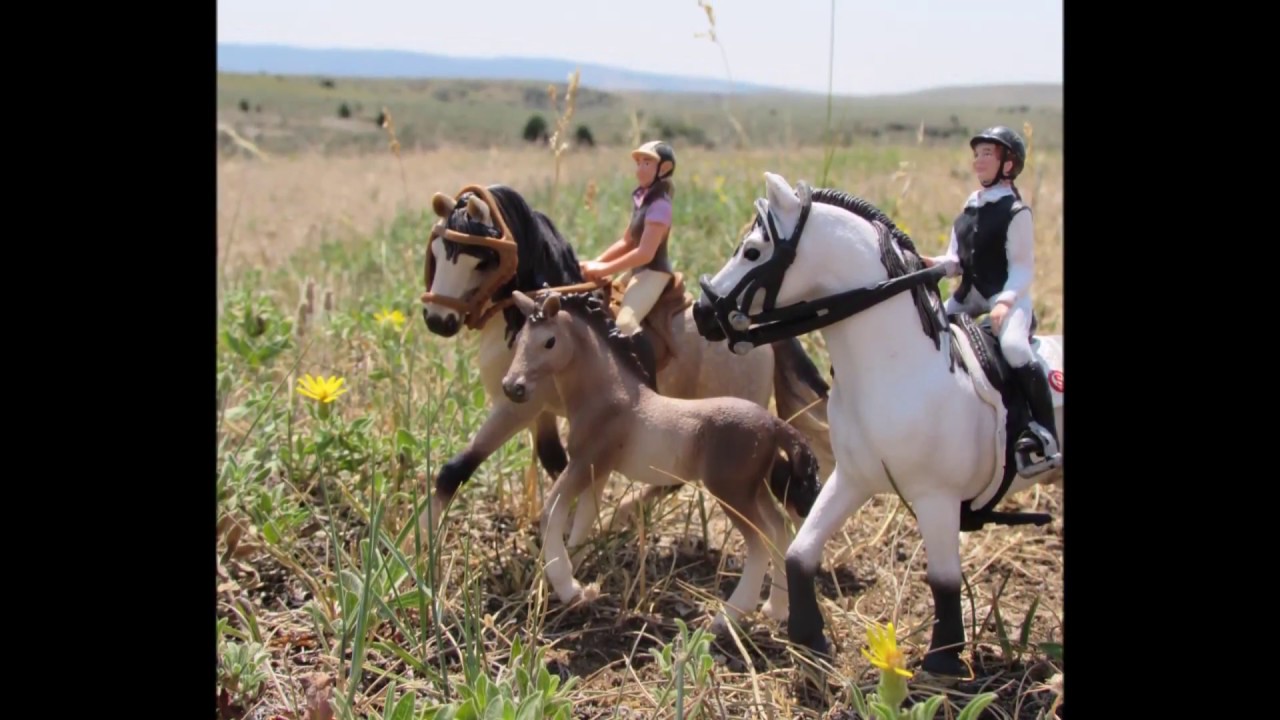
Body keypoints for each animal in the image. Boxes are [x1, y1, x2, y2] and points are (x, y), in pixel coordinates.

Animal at [416, 183, 835, 542]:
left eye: (481, 260)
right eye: (437, 251)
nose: (438, 320)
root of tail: (753, 336)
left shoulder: (517, 407)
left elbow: (455, 470)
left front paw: (419, 550)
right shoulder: (542, 412)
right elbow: (557, 461)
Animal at [500, 288, 823, 632]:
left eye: (549, 341)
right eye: (519, 338)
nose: (512, 387)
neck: (610, 398)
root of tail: (772, 424)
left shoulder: (586, 461)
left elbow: (552, 512)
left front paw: (568, 588)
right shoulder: (597, 470)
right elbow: (584, 518)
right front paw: (578, 574)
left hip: (731, 492)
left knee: (760, 541)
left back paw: (725, 619)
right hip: (754, 488)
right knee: (779, 529)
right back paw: (775, 609)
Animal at [691, 172, 1064, 677]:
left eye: (752, 251)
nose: (701, 312)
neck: (899, 369)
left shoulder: (936, 499)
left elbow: (944, 580)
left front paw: (941, 663)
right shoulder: (853, 479)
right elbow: (801, 552)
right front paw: (810, 638)